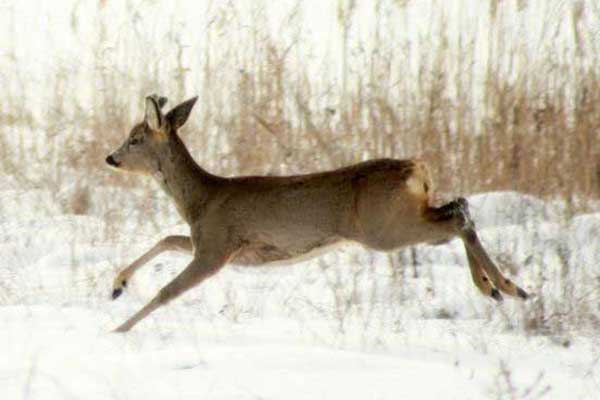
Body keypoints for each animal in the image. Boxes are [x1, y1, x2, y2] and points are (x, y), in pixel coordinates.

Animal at [105, 95, 528, 332]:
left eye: (135, 139)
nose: (111, 158)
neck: (201, 200)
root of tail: (416, 168)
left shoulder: (216, 248)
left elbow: (167, 290)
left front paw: (117, 330)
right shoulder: (210, 243)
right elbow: (167, 239)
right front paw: (116, 286)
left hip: (385, 228)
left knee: (458, 217)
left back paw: (508, 287)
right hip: (405, 217)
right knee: (460, 207)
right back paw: (495, 287)